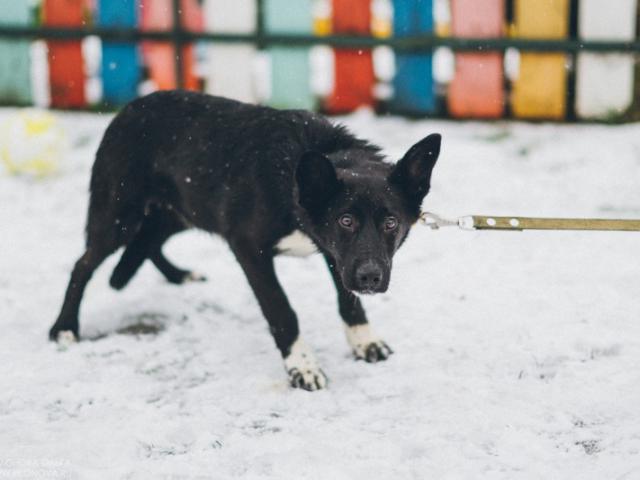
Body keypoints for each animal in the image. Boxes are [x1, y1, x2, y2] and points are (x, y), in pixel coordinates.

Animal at [50, 90, 442, 390]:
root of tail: (129, 108)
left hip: (182, 211)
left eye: (391, 222)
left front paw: (364, 341)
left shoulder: (338, 255)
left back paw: (179, 275)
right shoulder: (250, 248)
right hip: (119, 217)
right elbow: (282, 310)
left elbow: (349, 301)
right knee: (83, 264)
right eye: (346, 220)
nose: (371, 278)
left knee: (151, 242)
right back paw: (64, 328)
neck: (294, 181)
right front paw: (302, 365)